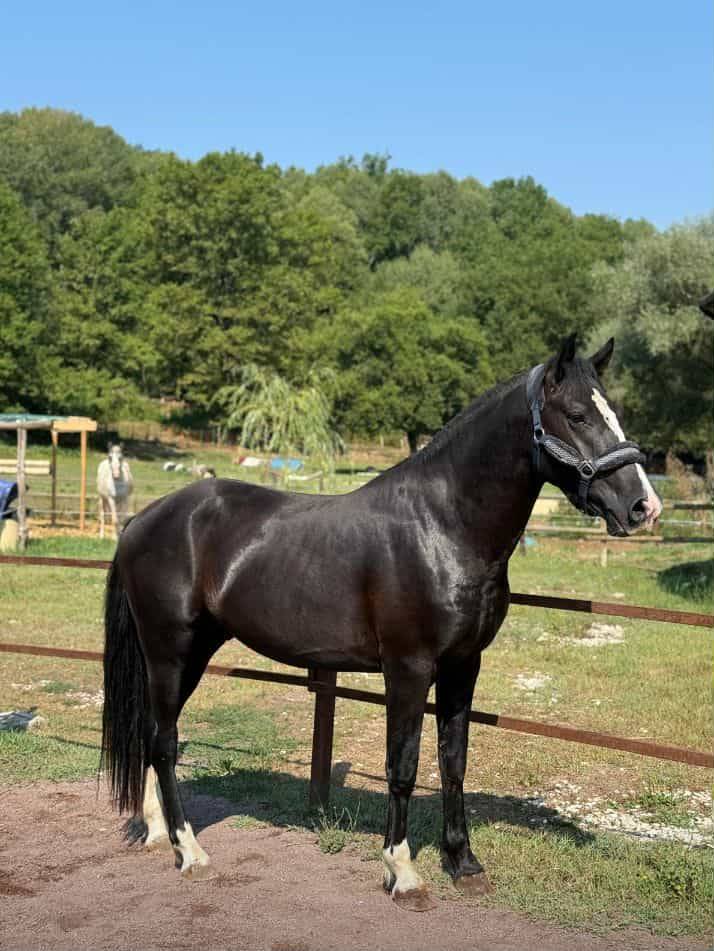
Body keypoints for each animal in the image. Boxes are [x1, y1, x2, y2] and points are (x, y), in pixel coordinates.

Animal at [100, 336, 661, 910]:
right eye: (577, 415)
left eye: (613, 413)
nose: (644, 507)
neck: (441, 526)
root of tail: (143, 520)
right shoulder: (408, 669)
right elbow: (404, 765)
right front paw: (403, 872)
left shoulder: (464, 666)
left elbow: (453, 763)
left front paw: (464, 864)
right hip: (170, 652)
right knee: (164, 743)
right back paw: (189, 851)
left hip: (188, 652)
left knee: (154, 737)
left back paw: (157, 831)